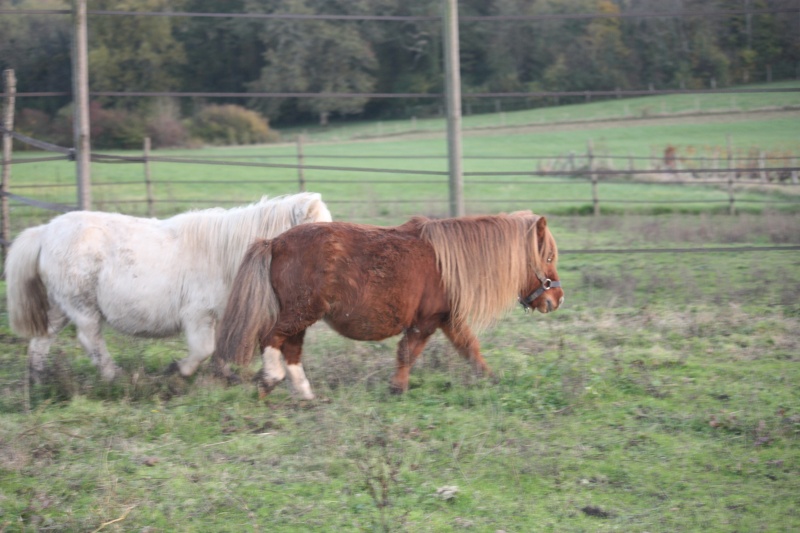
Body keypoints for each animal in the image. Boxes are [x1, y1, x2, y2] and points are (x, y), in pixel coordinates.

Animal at [5, 192, 332, 382]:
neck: (227, 253)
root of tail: (45, 231)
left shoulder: (217, 315)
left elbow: (219, 348)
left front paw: (226, 375)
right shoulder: (197, 315)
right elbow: (203, 348)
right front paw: (180, 370)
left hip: (59, 308)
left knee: (40, 342)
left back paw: (38, 383)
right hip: (82, 307)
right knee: (90, 340)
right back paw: (114, 376)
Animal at [214, 210, 564, 396]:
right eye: (548, 257)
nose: (556, 298)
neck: (448, 262)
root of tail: (274, 242)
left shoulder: (448, 320)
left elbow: (471, 349)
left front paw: (491, 379)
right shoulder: (426, 322)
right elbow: (407, 353)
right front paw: (397, 387)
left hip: (301, 316)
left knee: (291, 350)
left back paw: (305, 394)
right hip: (299, 313)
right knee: (270, 339)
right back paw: (271, 379)